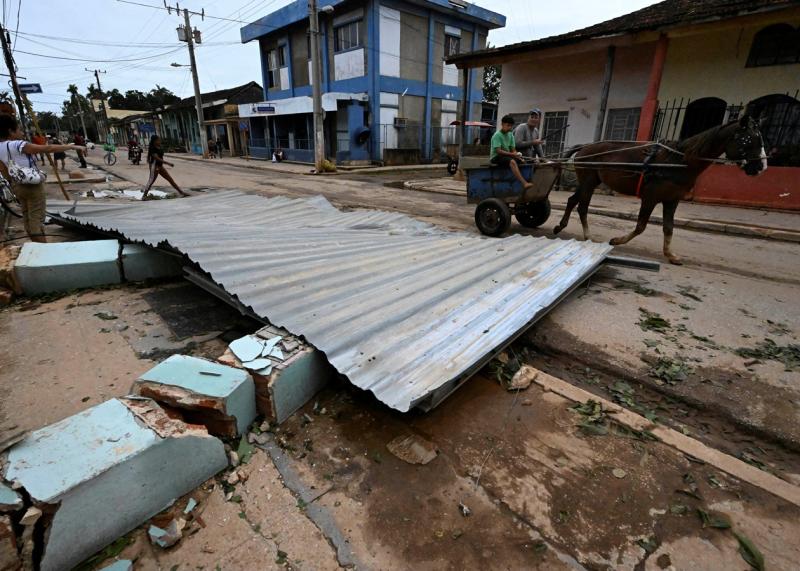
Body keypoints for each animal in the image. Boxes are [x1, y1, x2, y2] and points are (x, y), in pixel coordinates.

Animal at [552, 114, 768, 266]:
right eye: (749, 140)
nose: (761, 167)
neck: (679, 160)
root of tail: (585, 147)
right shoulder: (650, 197)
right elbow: (641, 226)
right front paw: (618, 240)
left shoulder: (672, 200)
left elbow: (669, 228)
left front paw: (670, 255)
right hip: (588, 180)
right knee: (582, 207)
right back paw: (587, 236)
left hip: (589, 181)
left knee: (572, 200)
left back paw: (560, 226)